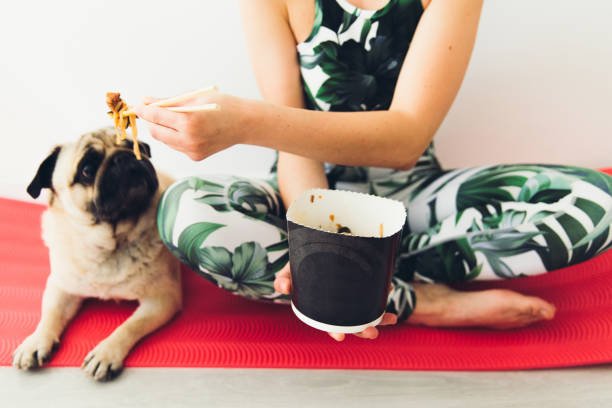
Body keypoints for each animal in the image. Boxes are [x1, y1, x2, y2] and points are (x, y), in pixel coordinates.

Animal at [12, 126, 182, 380]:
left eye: (136, 147)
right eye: (87, 170)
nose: (124, 157)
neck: (110, 244)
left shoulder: (163, 298)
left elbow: (130, 325)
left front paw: (106, 353)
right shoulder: (60, 287)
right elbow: (50, 314)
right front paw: (35, 342)